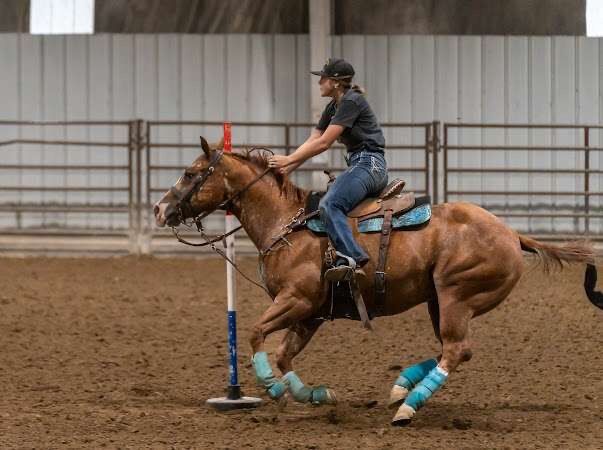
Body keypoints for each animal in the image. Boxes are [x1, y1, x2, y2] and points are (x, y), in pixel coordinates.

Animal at [153, 137, 602, 426]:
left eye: (191, 172)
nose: (160, 209)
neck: (288, 223)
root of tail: (513, 234)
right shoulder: (310, 313)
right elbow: (284, 354)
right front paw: (314, 395)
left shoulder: (296, 300)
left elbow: (255, 334)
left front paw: (273, 389)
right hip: (441, 301)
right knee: (456, 349)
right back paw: (401, 388)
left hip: (456, 295)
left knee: (456, 350)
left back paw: (409, 405)